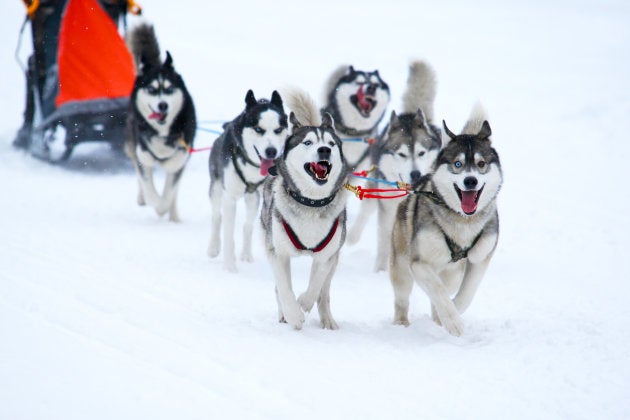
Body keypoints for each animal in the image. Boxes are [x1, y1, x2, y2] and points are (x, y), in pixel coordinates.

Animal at [124, 22, 196, 223]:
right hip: (134, 144)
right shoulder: (144, 158)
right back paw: (142, 198)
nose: (163, 105)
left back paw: (174, 216)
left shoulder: (178, 162)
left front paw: (165, 209)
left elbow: (169, 193)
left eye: (169, 89)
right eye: (151, 89)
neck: (163, 133)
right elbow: (150, 190)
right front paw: (154, 203)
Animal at [209, 90, 290, 270]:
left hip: (253, 198)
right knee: (217, 217)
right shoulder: (229, 198)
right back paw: (214, 247)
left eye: (278, 129)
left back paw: (246, 254)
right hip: (216, 190)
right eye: (259, 129)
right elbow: (228, 233)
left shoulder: (261, 196)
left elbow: (248, 226)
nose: (271, 151)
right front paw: (229, 266)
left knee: (247, 226)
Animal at [262, 90, 350, 330]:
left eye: (331, 143)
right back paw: (285, 314)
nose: (324, 149)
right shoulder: (277, 252)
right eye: (308, 142)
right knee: (278, 288)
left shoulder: (326, 256)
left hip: (335, 257)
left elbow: (315, 285)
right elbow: (284, 287)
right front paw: (293, 314)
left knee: (324, 293)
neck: (311, 201)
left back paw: (328, 319)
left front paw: (303, 302)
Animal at [346, 60, 444, 272]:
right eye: (402, 154)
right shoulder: (388, 209)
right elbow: (385, 239)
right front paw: (381, 270)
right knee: (366, 210)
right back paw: (353, 236)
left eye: (421, 153)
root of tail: (410, 114)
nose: (416, 174)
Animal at [390, 105, 504, 338]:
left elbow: (466, 293)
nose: (471, 181)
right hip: (402, 264)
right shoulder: (419, 263)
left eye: (481, 164)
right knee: (403, 296)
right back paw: (401, 323)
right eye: (457, 164)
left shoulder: (480, 259)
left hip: (453, 272)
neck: (463, 222)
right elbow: (437, 291)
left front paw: (452, 313)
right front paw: (453, 322)